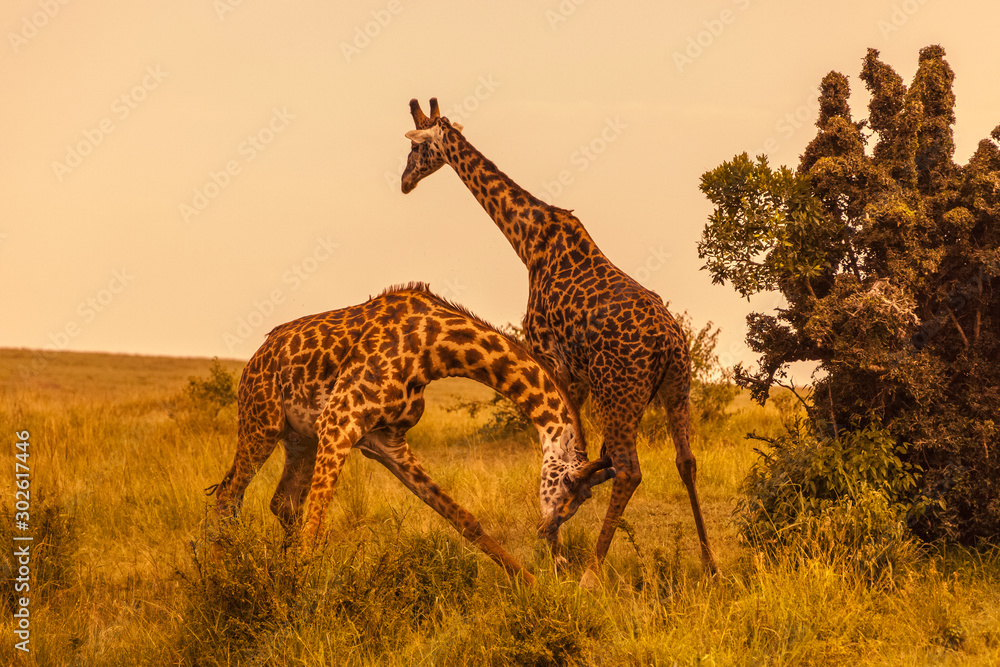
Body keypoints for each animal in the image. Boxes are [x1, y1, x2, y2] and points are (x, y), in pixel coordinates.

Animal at [210, 283, 615, 584]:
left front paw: (530, 584)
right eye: (566, 489)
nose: (556, 554)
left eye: (582, 500)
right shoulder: (339, 421)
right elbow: (317, 525)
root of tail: (257, 356)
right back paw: (221, 578)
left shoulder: (386, 442)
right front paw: (298, 595)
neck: (435, 348)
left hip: (301, 439)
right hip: (262, 421)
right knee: (229, 494)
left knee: (284, 503)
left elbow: (463, 518)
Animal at [400, 99, 718, 584]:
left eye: (416, 149)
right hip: (675, 388)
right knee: (686, 462)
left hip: (619, 392)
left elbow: (565, 443)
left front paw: (556, 536)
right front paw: (560, 518)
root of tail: (669, 346)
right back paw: (710, 564)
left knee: (630, 470)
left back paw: (591, 572)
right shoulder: (578, 372)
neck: (528, 239)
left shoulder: (551, 355)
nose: (404, 181)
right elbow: (580, 450)